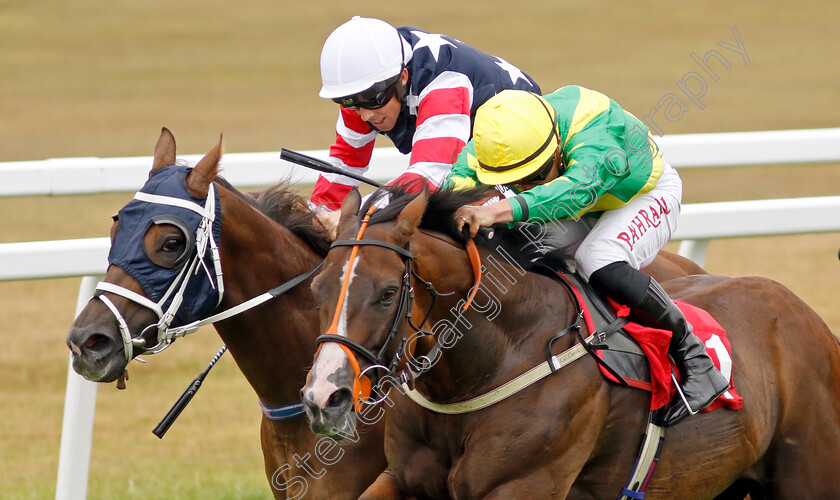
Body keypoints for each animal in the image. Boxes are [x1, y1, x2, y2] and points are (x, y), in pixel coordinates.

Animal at [300, 188, 840, 500]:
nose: (324, 396)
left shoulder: (523, 485)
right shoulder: (404, 480)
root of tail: (809, 317)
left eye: (388, 293)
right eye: (317, 287)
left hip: (808, 475)